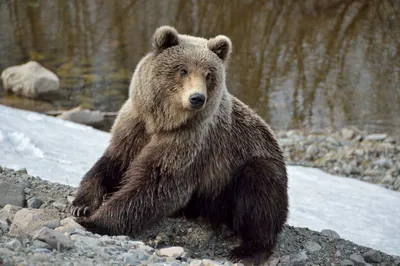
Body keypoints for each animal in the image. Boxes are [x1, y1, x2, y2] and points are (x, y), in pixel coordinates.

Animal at [69, 25, 288, 264]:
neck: (163, 122)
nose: (197, 98)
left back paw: (246, 250)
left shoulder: (188, 141)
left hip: (247, 167)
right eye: (183, 70)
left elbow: (155, 185)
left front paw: (95, 221)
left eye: (208, 74)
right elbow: (113, 162)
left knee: (260, 193)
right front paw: (81, 205)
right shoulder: (134, 125)